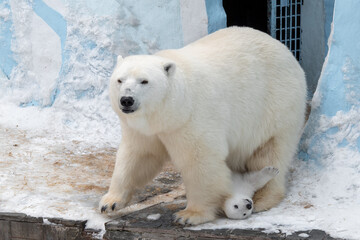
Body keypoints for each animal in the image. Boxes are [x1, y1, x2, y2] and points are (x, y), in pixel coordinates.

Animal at [99, 27, 306, 226]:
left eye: (144, 81)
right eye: (119, 80)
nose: (126, 100)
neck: (171, 111)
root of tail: (286, 50)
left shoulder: (192, 118)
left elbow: (200, 161)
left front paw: (190, 215)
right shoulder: (144, 130)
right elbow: (137, 156)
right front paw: (110, 202)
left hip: (274, 106)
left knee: (270, 150)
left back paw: (264, 197)